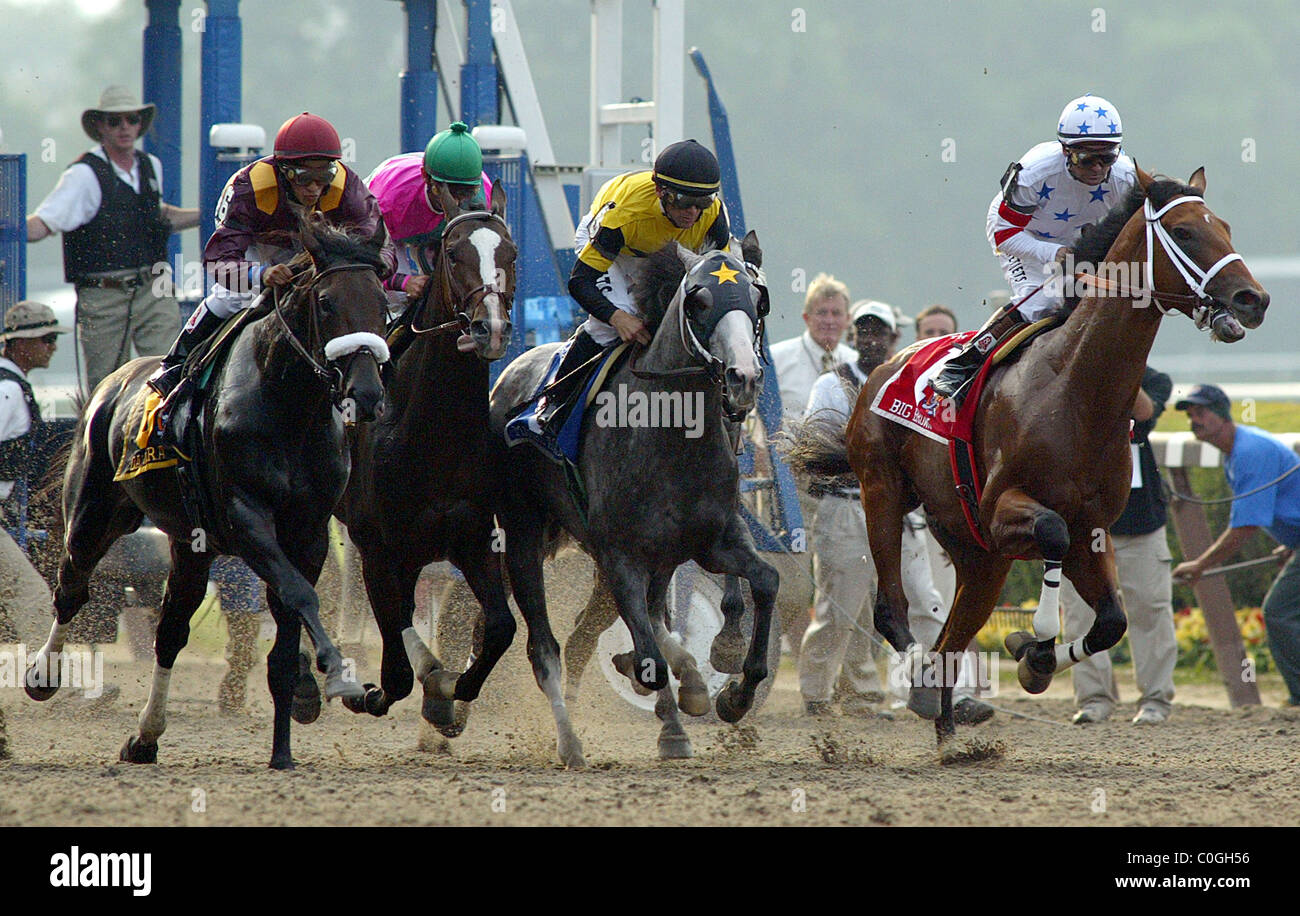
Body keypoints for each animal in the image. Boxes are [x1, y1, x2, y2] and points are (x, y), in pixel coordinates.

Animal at [785, 167, 1263, 743]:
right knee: (891, 612)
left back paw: (950, 730)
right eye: (1185, 231)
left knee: (954, 633)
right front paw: (1035, 643)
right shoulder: (1002, 510)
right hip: (884, 492)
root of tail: (881, 367)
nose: (1252, 299)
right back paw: (920, 679)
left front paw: (1033, 658)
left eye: (1226, 227)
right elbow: (1052, 533)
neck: (1076, 388)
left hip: (978, 555)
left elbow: (1113, 621)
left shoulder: (1090, 527)